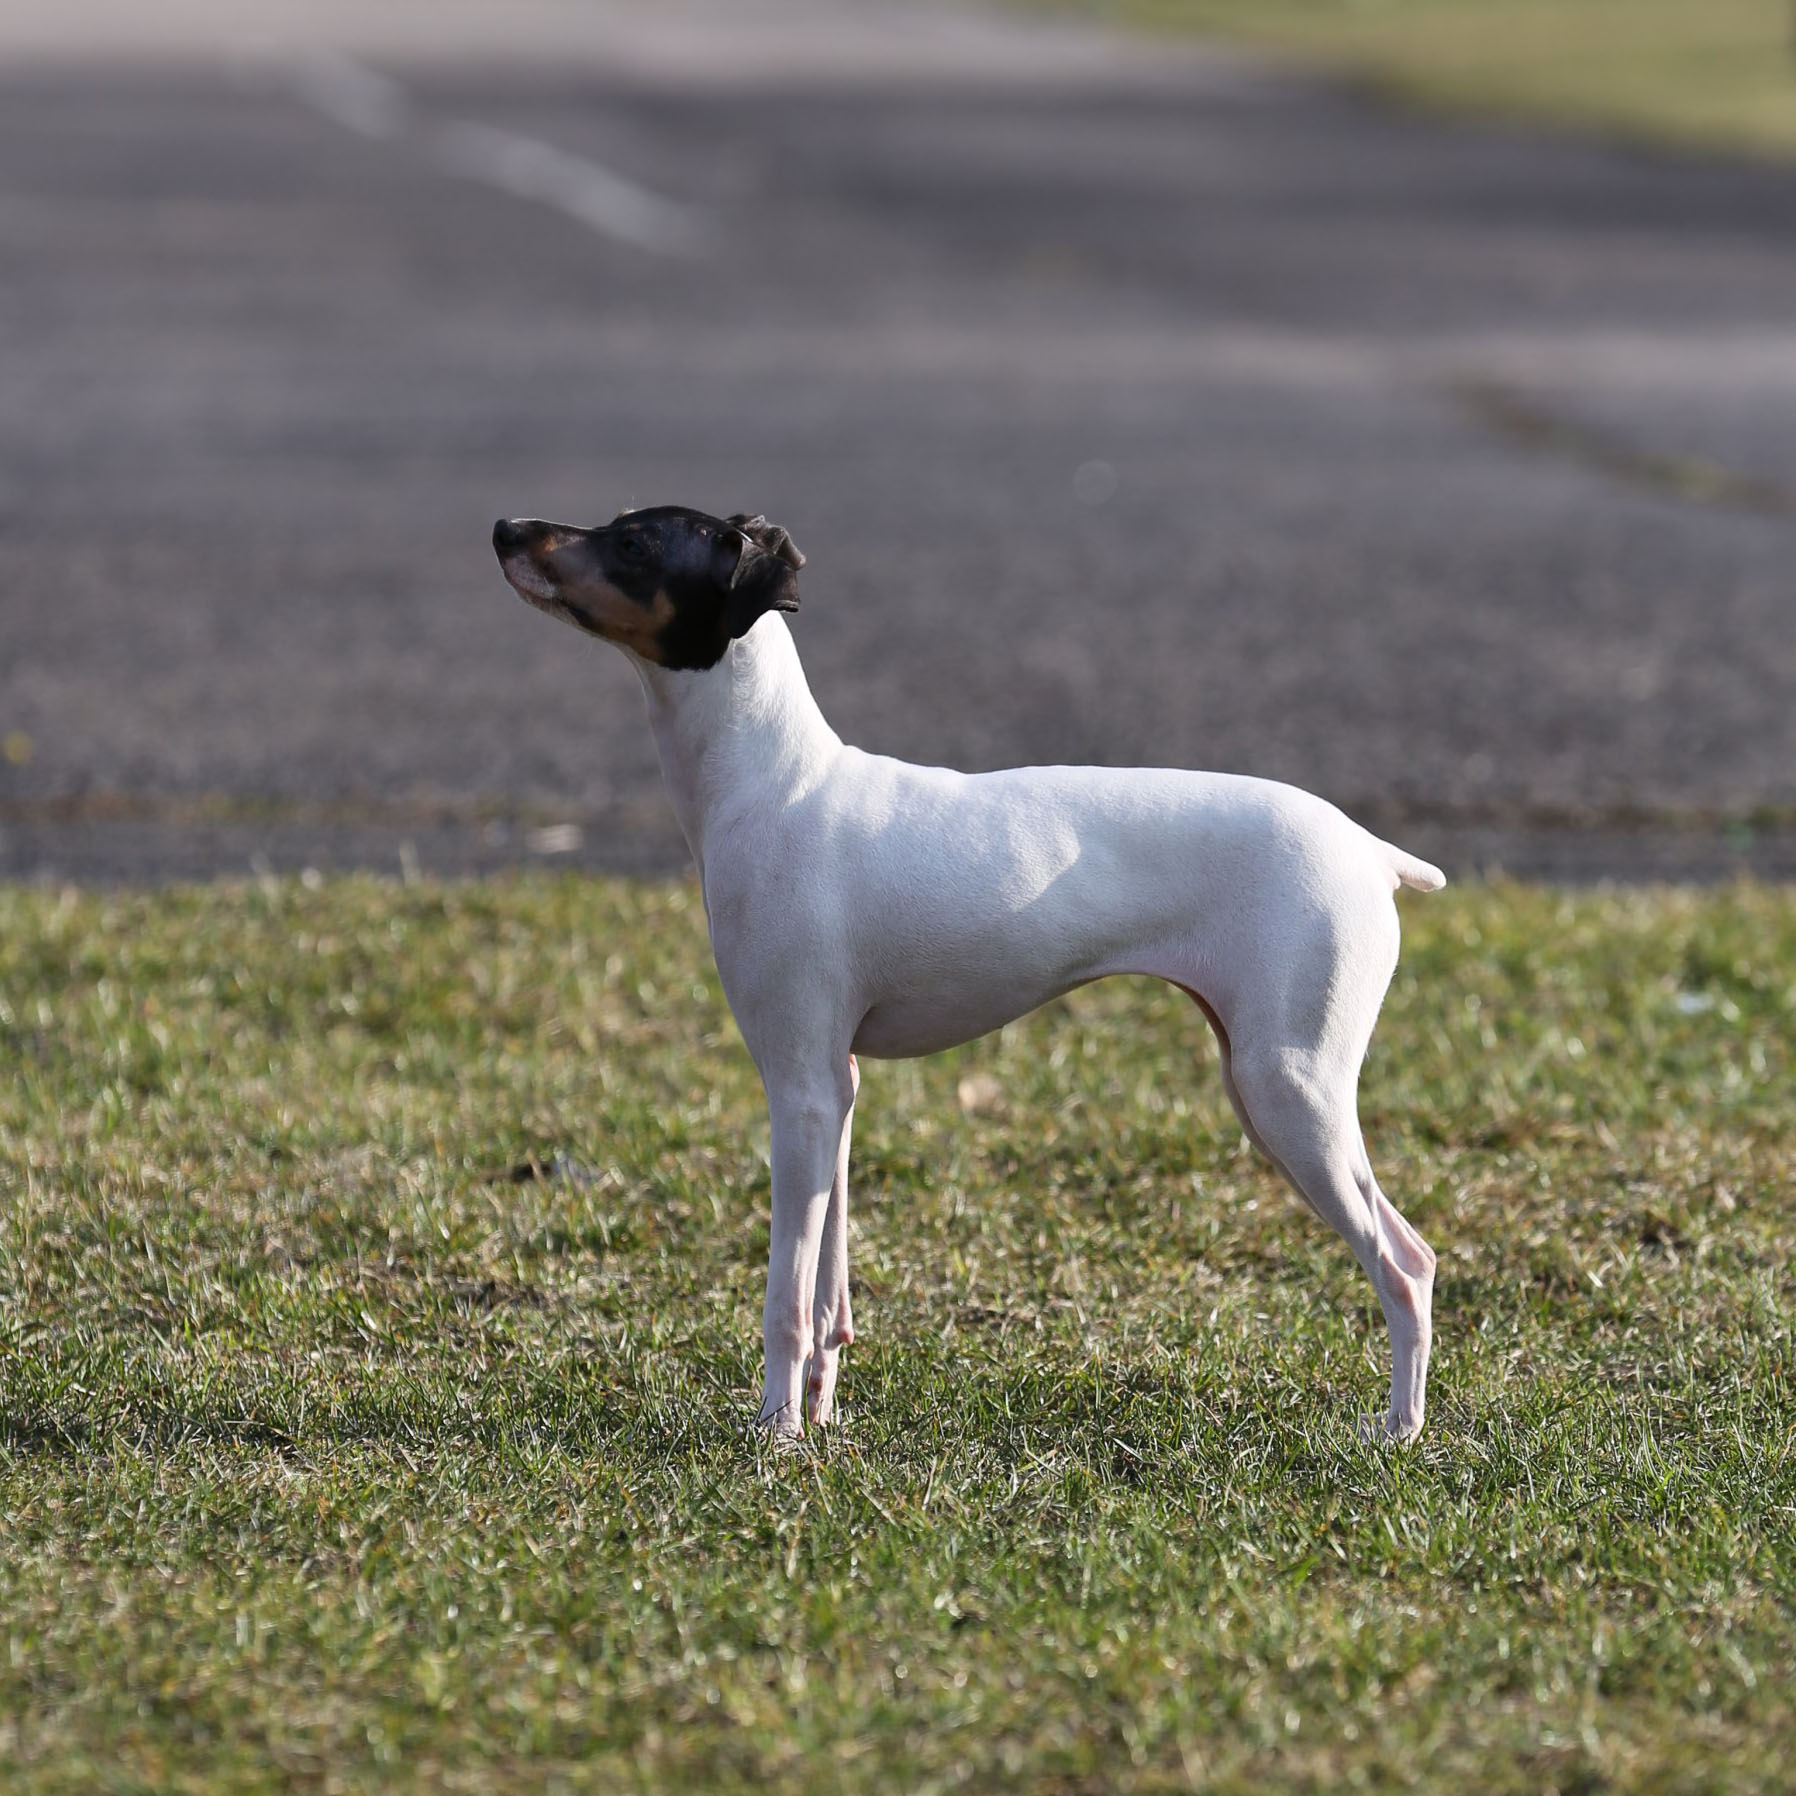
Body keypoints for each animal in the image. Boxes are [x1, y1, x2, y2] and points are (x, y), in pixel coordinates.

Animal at [492, 506, 1443, 1443]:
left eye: (634, 541)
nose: (505, 528)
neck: (776, 782)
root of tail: (1370, 850)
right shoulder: (836, 1088)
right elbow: (830, 1294)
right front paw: (822, 1417)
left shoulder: (797, 1090)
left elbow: (786, 1300)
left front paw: (777, 1436)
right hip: (1262, 1087)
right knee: (1414, 1254)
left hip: (1290, 1089)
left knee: (1403, 1262)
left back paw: (1398, 1430)